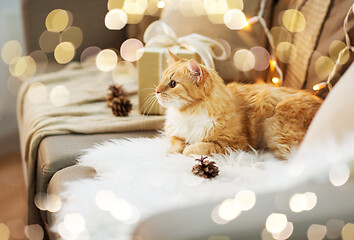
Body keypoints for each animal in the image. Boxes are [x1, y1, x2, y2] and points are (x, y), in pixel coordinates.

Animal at [156, 51, 324, 158]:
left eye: (173, 84)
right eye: (161, 80)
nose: (156, 91)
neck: (188, 113)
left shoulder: (235, 143)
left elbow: (200, 147)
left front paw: (188, 149)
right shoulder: (176, 134)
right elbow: (177, 143)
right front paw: (172, 153)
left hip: (275, 128)